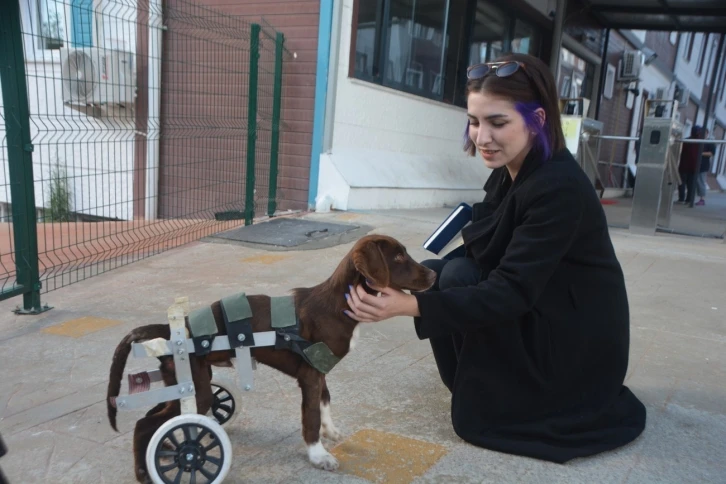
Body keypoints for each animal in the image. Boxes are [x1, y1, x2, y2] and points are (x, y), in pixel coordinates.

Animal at [106, 233, 438, 482]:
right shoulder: (310, 376)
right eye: (398, 258)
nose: (435, 274)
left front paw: (330, 431)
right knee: (146, 424)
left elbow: (325, 402)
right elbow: (310, 417)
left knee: (157, 416)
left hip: (189, 383)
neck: (338, 304)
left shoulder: (319, 370)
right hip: (196, 389)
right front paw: (318, 455)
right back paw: (146, 471)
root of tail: (169, 329)